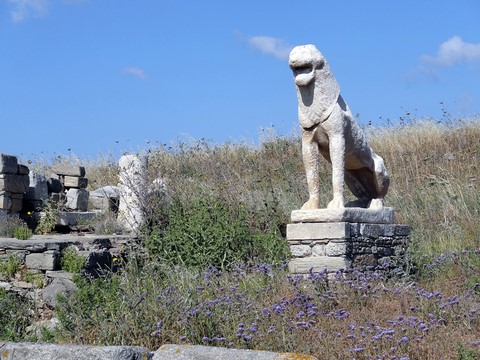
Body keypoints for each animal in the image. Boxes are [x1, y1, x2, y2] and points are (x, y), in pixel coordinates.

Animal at [288, 43, 390, 210]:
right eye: (294, 52)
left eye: (307, 50)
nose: (294, 59)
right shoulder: (308, 142)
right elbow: (312, 176)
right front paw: (312, 204)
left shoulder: (337, 138)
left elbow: (336, 175)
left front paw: (336, 204)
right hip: (350, 175)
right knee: (364, 195)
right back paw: (356, 203)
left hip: (380, 170)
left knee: (379, 194)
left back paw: (376, 203)